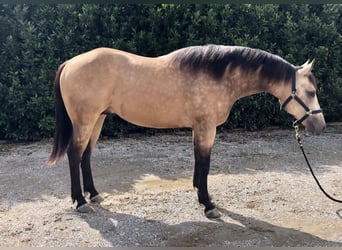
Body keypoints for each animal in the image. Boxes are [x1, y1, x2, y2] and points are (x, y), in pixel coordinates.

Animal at [46, 45, 324, 219]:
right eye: (310, 92)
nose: (320, 126)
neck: (219, 75)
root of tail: (70, 63)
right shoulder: (207, 127)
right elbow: (205, 162)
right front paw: (208, 204)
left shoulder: (198, 127)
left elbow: (198, 160)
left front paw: (199, 192)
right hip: (85, 121)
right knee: (74, 154)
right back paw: (80, 202)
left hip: (98, 120)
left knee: (86, 155)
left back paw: (93, 195)